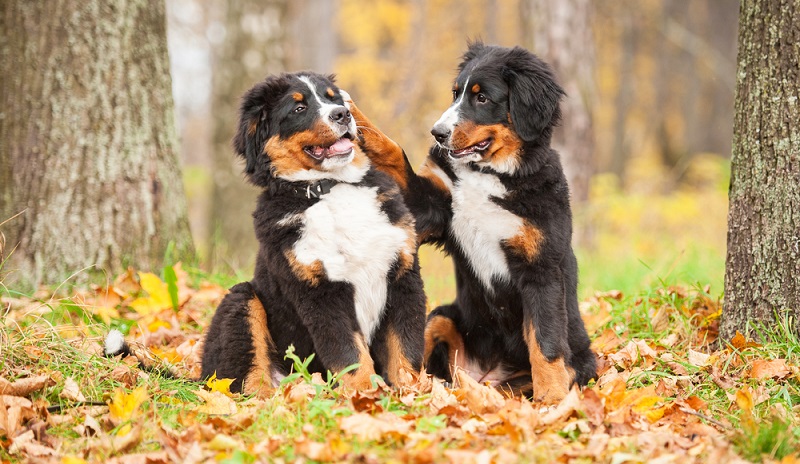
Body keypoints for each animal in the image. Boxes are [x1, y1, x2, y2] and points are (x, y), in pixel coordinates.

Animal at [346, 44, 596, 406]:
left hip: (581, 360)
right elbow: (394, 153)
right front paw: (355, 115)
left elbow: (546, 341)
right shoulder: (432, 207)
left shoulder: (541, 267)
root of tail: (486, 376)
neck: (489, 174)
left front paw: (553, 398)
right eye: (455, 93)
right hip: (442, 316)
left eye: (481, 98)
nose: (438, 133)